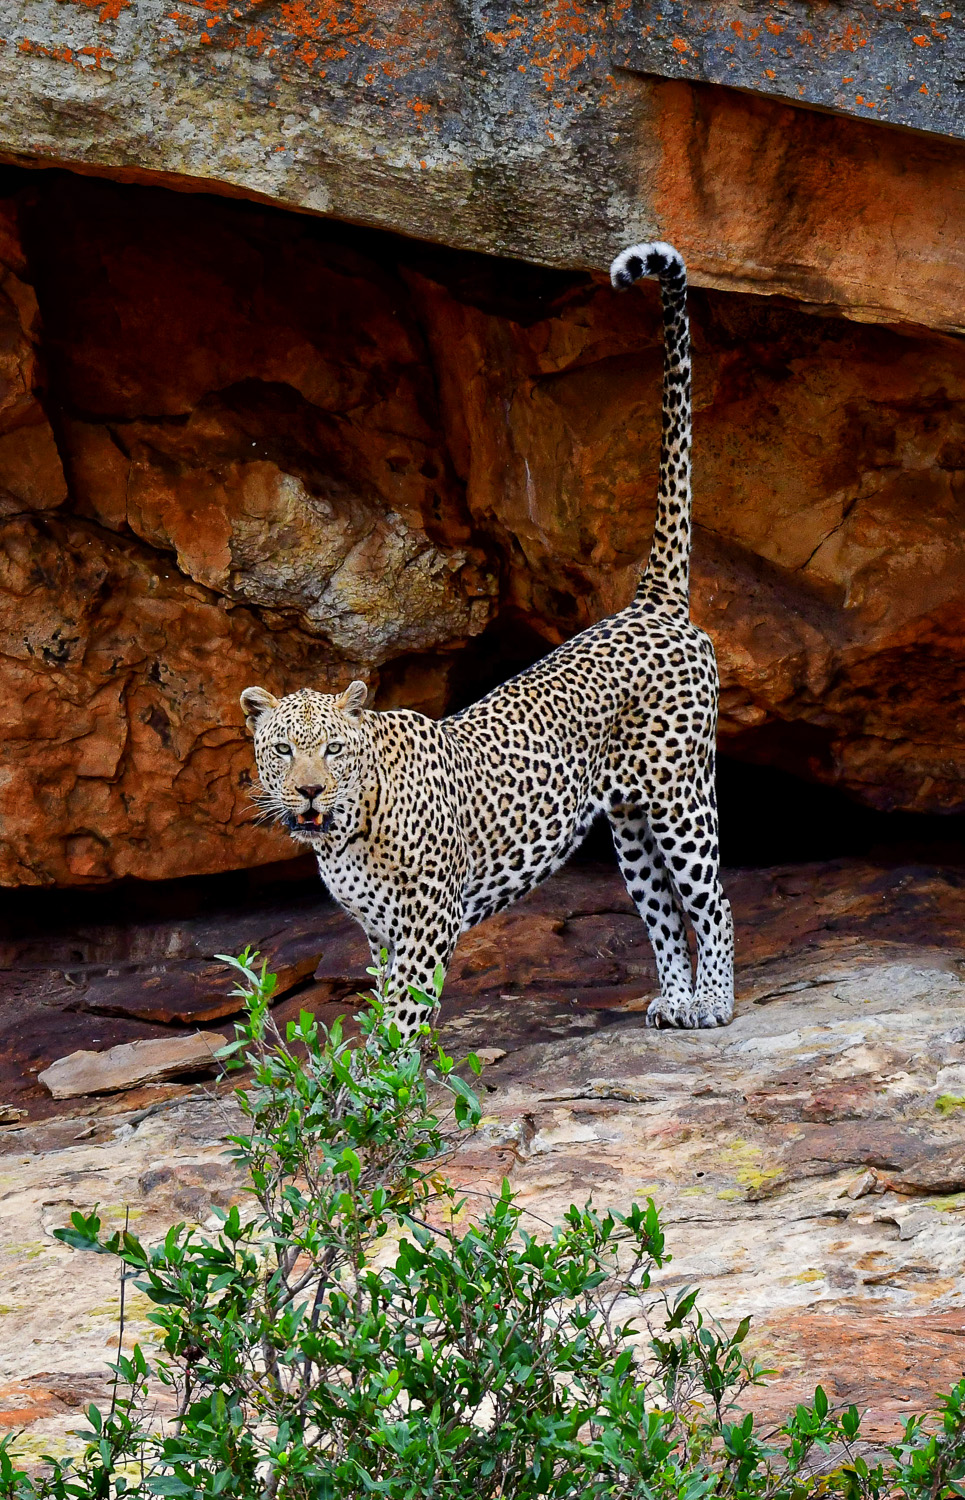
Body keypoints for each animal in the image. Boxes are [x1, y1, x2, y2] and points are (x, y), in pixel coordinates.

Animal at [240, 241, 735, 1041]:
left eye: (334, 751)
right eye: (283, 750)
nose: (309, 790)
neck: (347, 828)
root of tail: (648, 605)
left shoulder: (423, 923)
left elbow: (402, 1022)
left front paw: (384, 1072)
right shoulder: (379, 935)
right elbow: (383, 1009)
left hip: (680, 792)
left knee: (709, 897)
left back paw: (714, 1003)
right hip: (628, 821)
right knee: (661, 907)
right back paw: (675, 1000)